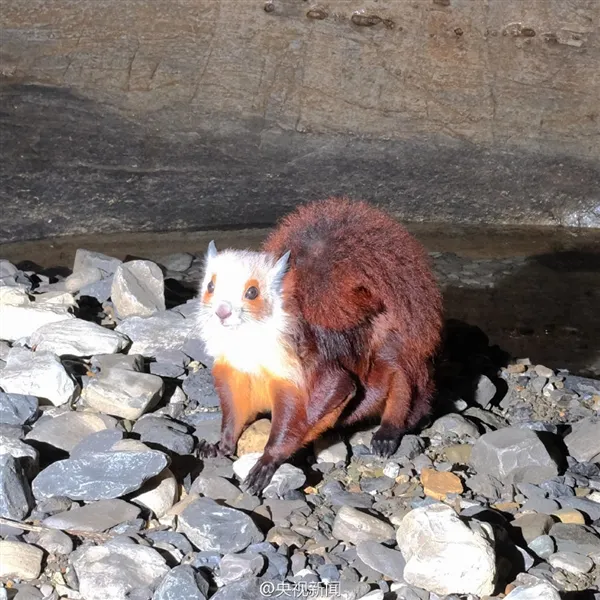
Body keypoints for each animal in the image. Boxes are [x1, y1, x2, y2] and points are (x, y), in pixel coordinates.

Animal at [195, 197, 442, 492]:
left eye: (252, 292)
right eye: (210, 285)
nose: (222, 312)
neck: (246, 343)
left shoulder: (300, 371)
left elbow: (325, 397)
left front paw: (269, 460)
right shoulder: (233, 375)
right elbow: (234, 415)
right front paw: (220, 446)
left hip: (395, 354)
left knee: (403, 389)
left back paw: (387, 433)